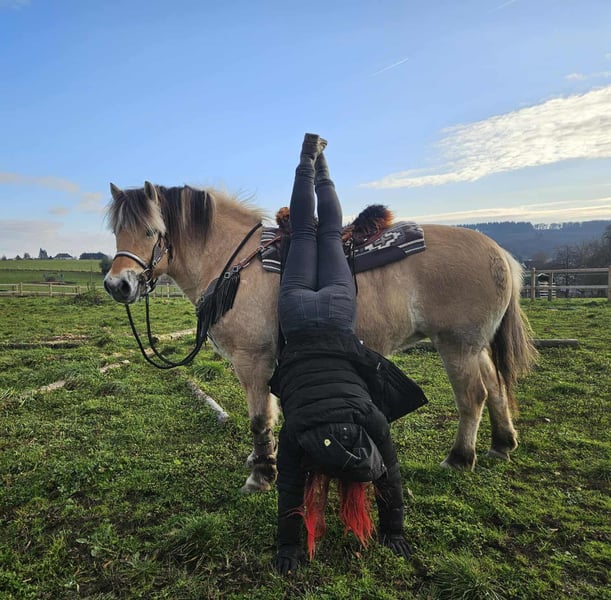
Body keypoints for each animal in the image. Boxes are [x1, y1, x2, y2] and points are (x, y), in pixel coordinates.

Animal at [104, 181, 537, 493]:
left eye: (152, 231)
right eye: (116, 231)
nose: (117, 285)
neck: (236, 263)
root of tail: (500, 254)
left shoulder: (253, 361)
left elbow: (259, 418)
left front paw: (261, 476)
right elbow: (275, 414)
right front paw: (266, 461)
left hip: (457, 346)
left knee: (474, 396)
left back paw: (460, 458)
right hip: (475, 347)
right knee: (495, 387)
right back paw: (502, 444)